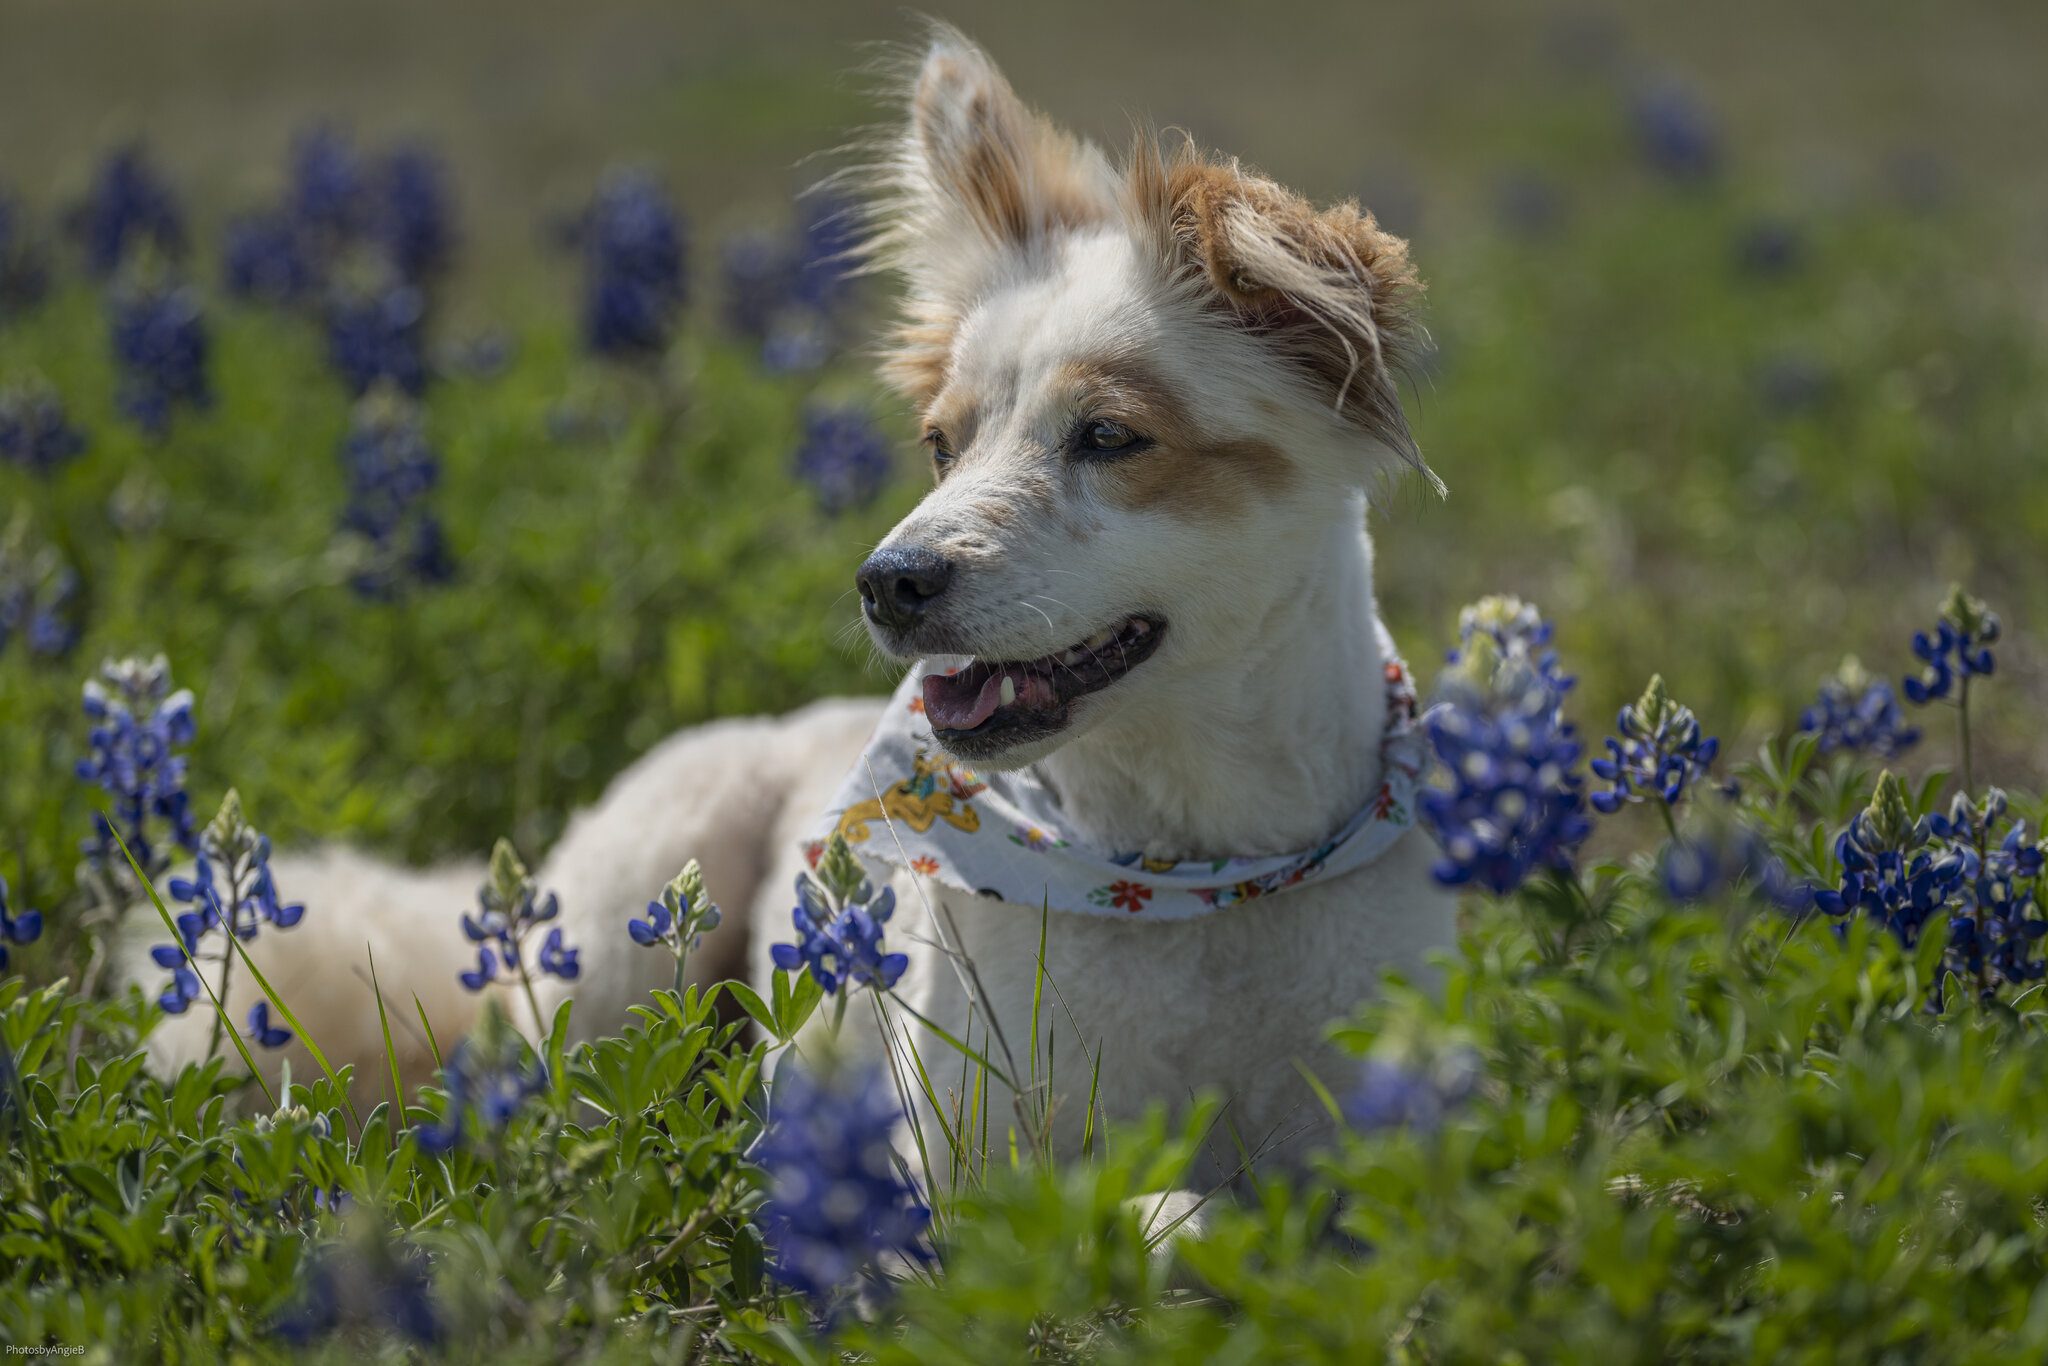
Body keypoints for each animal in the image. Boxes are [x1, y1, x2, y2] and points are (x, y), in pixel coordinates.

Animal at [123, 18, 1458, 1179]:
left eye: (1111, 435)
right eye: (939, 446)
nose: (887, 584)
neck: (1202, 880)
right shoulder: (961, 1180)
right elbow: (1162, 1209)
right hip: (624, 918)